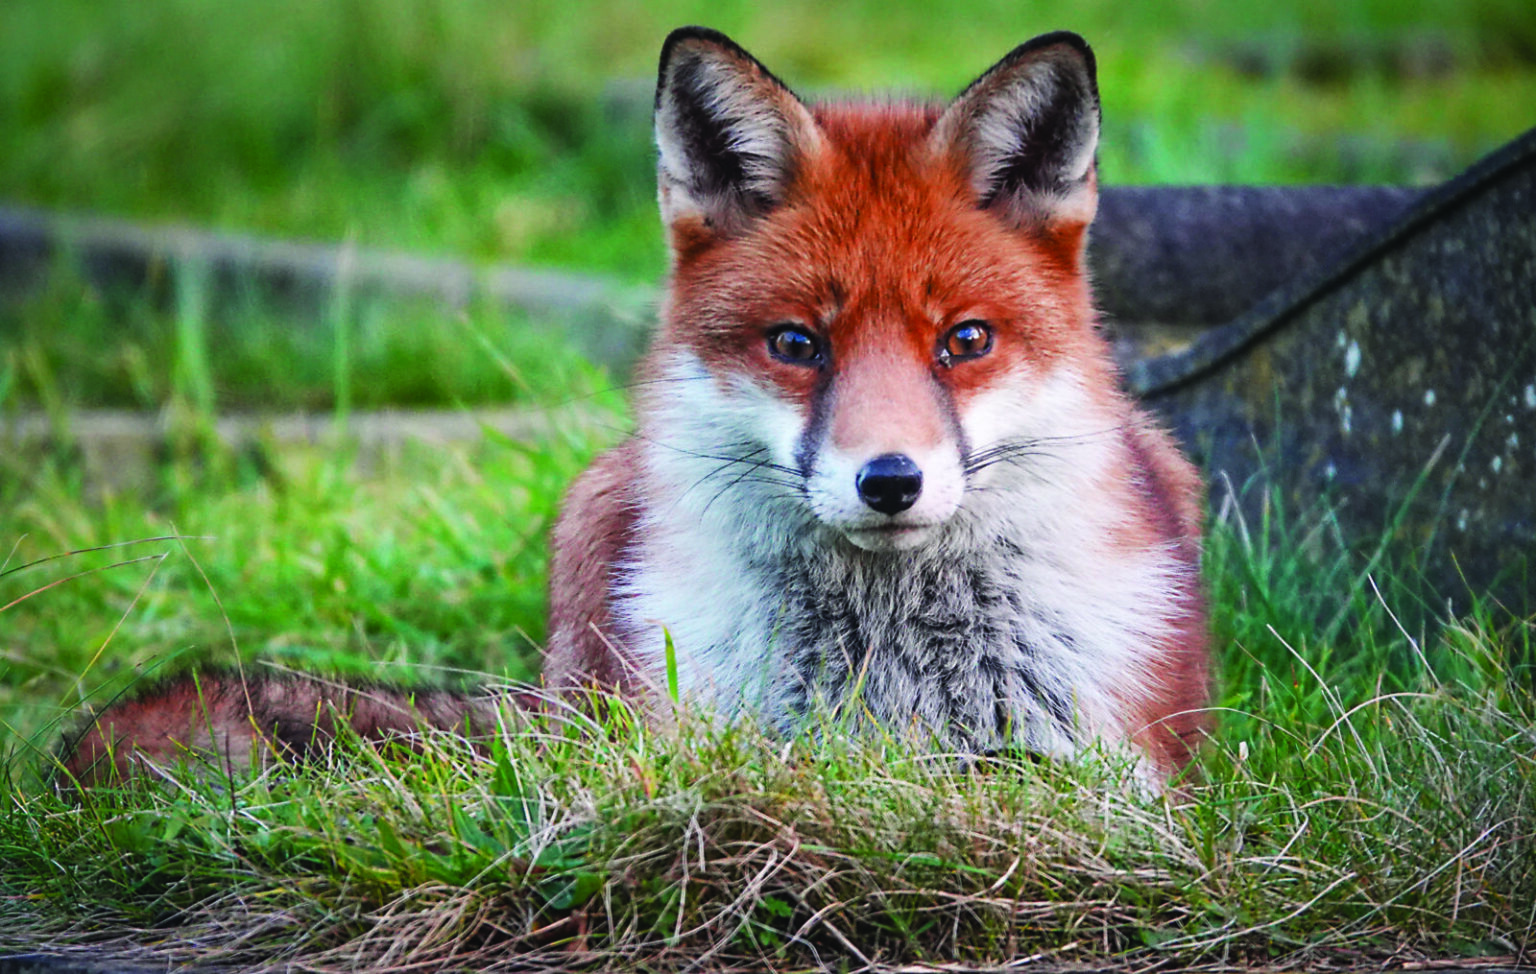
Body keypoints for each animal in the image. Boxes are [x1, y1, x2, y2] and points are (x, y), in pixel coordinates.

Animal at [59, 27, 1210, 791]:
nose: (890, 480)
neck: (887, 672)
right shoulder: (685, 746)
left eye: (963, 341)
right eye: (797, 344)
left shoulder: (1114, 782)